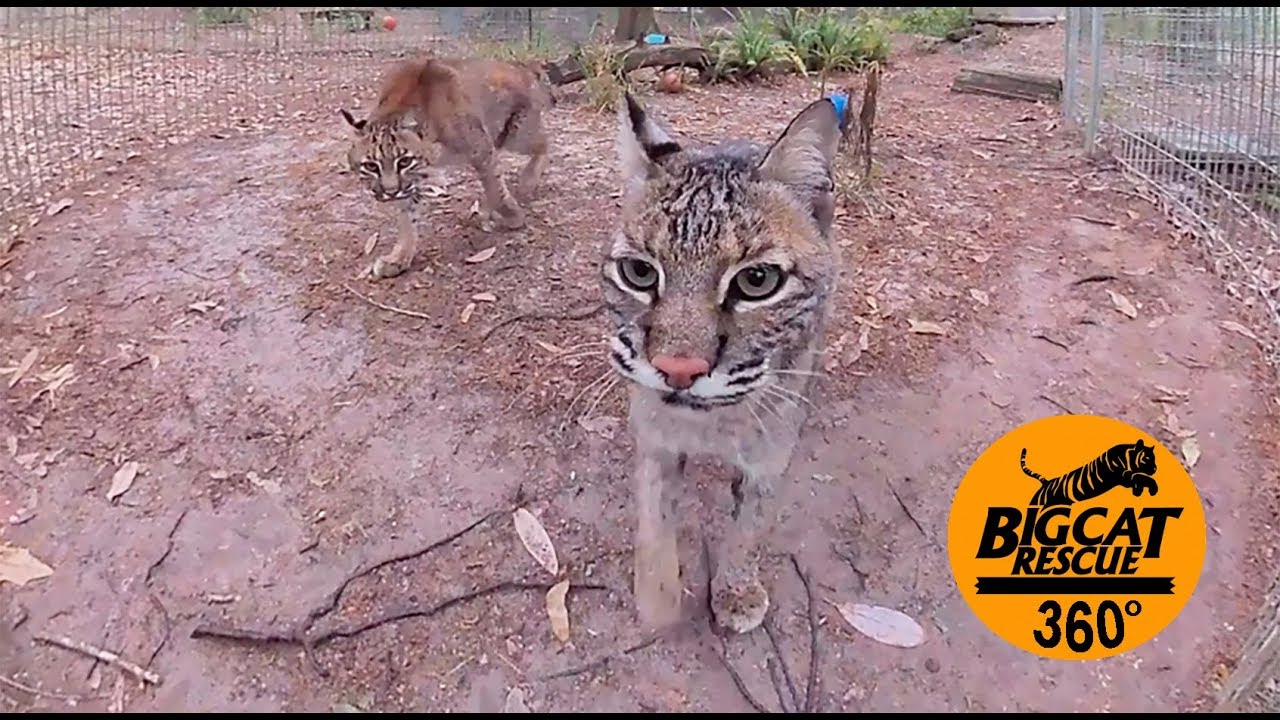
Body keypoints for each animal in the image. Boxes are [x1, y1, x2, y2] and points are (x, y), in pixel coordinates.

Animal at [339, 55, 553, 280]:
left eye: (404, 161)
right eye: (371, 166)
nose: (390, 192)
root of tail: (522, 67)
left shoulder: (481, 150)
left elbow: (495, 188)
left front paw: (513, 217)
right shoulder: (413, 180)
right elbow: (407, 217)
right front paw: (399, 259)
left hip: (516, 134)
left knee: (545, 143)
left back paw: (527, 181)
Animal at [600, 91, 844, 636]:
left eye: (756, 281)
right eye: (639, 272)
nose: (678, 369)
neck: (711, 424)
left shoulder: (770, 457)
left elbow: (750, 526)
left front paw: (736, 590)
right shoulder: (654, 436)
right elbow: (654, 517)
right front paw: (658, 598)